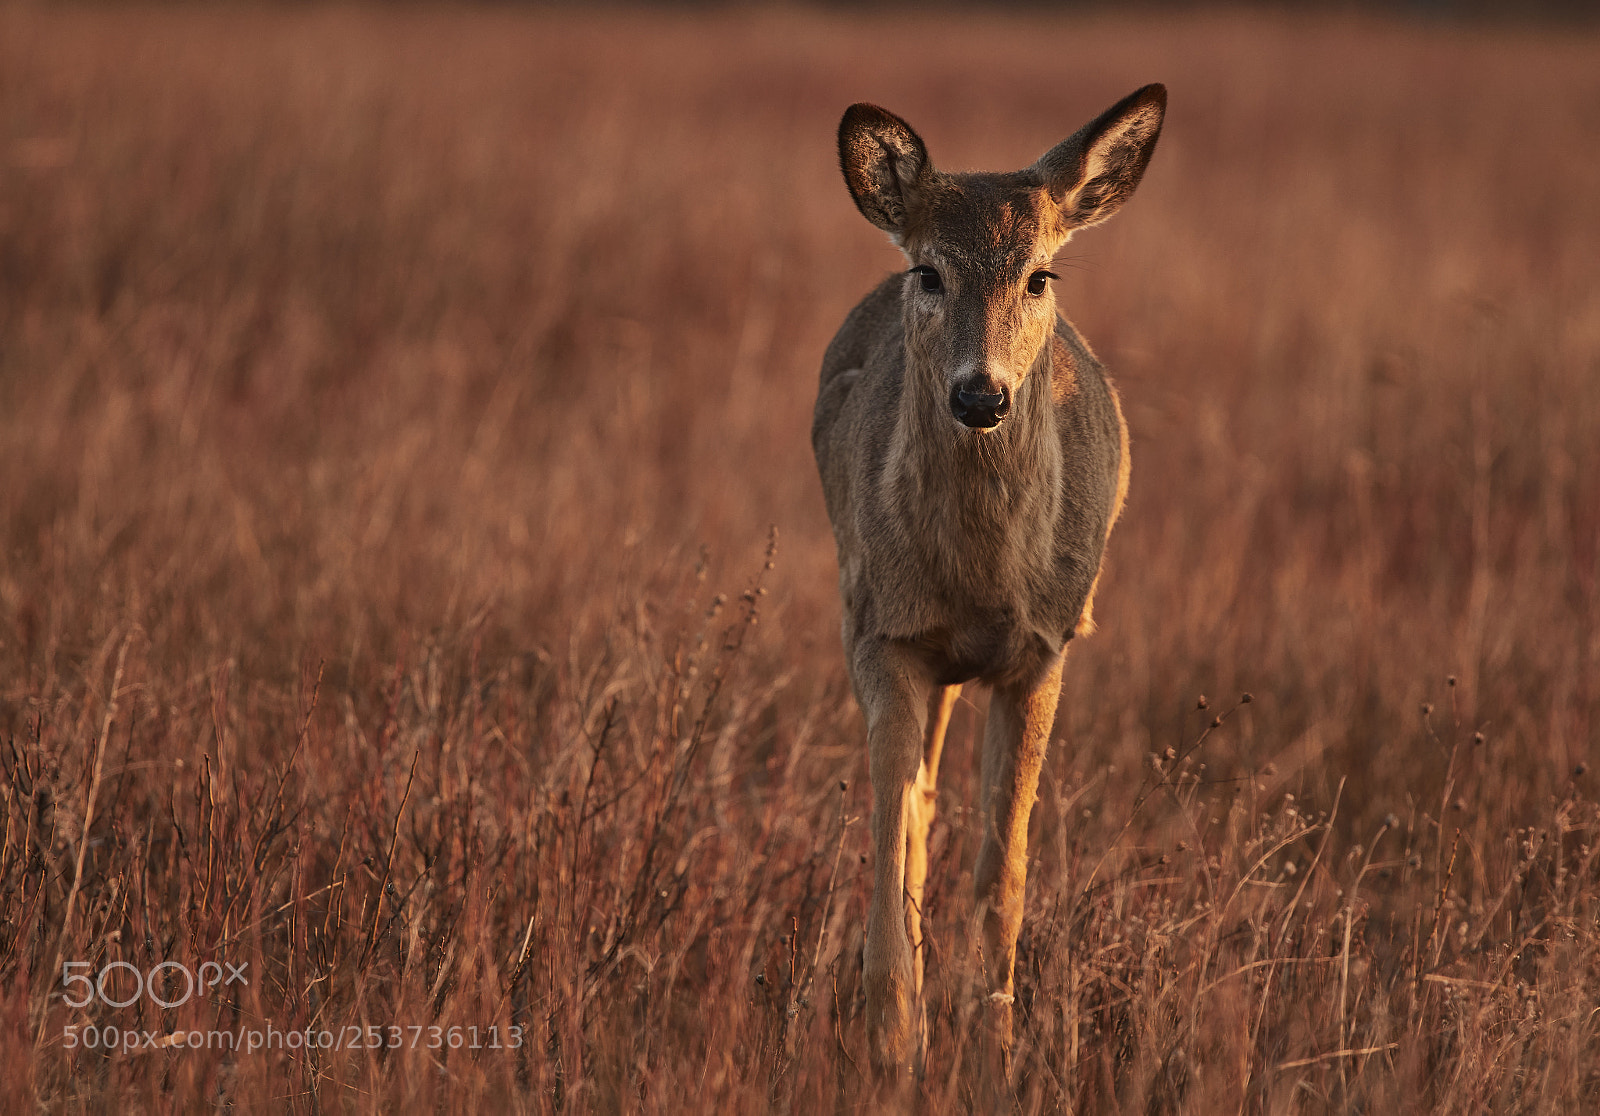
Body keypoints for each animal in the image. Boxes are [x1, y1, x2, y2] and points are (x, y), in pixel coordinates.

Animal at [811, 85, 1166, 1074]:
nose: (982, 395)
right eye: (930, 273)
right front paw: (895, 1046)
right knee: (917, 813)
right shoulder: (883, 635)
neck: (979, 581)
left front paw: (993, 1042)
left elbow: (1001, 869)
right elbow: (894, 843)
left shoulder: (1044, 648)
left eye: (1041, 276)